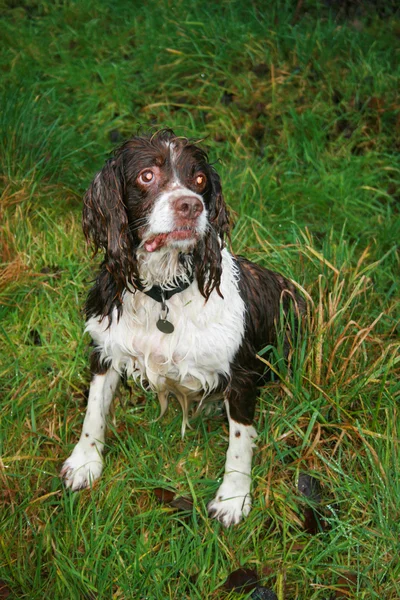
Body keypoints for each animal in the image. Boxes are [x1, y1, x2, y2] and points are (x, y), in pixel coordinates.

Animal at [60, 130, 304, 524]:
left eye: (200, 179)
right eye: (146, 175)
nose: (191, 206)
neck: (162, 291)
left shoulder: (241, 375)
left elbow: (240, 443)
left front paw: (233, 498)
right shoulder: (104, 347)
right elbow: (94, 410)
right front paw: (84, 463)